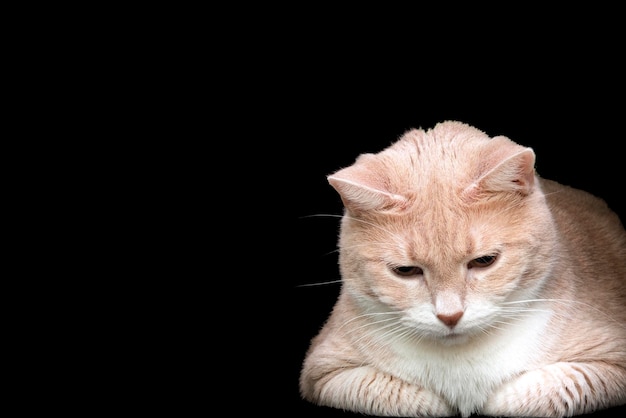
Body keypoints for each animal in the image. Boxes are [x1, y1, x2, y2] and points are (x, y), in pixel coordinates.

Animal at [298, 119, 624, 416]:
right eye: (405, 271)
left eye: (484, 261)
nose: (450, 315)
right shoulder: (322, 373)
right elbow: (403, 395)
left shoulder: (613, 360)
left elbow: (527, 394)